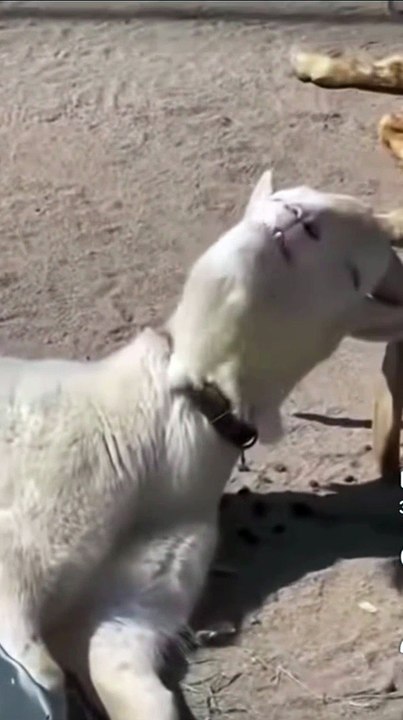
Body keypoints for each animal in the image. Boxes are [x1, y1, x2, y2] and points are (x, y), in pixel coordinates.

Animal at [2, 170, 403, 720]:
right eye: (286, 198)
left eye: (353, 274)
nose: (297, 219)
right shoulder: (22, 535)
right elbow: (38, 666)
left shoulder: (138, 599)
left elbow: (128, 680)